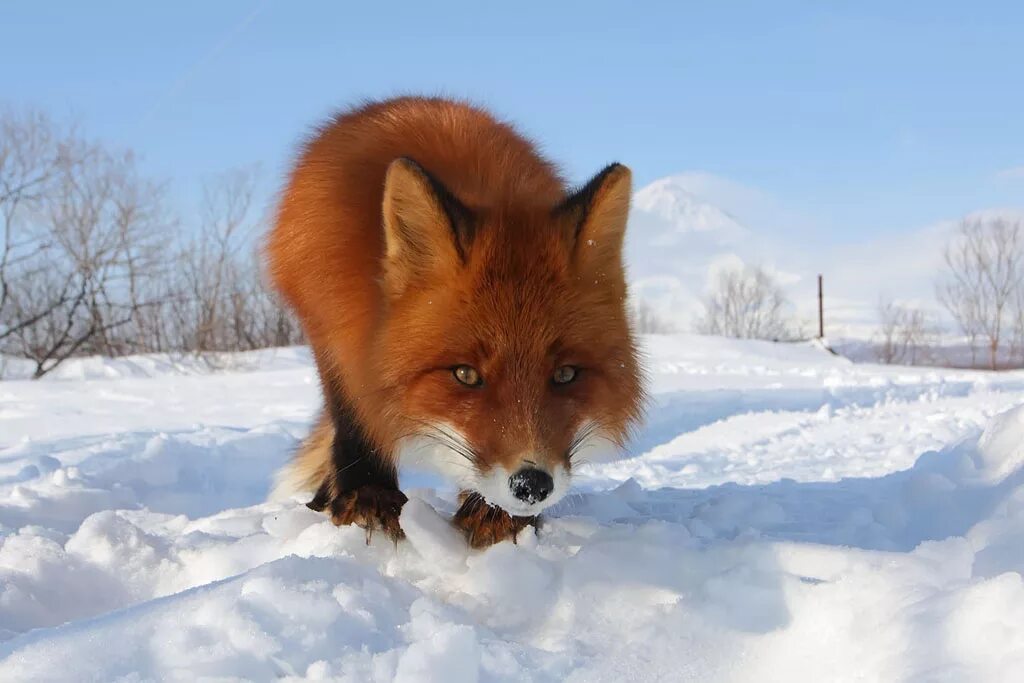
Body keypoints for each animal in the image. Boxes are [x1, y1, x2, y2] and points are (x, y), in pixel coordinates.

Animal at [268, 96, 643, 548]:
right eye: (465, 374)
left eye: (566, 374)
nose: (531, 486)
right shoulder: (340, 333)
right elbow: (358, 420)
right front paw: (367, 497)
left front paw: (496, 514)